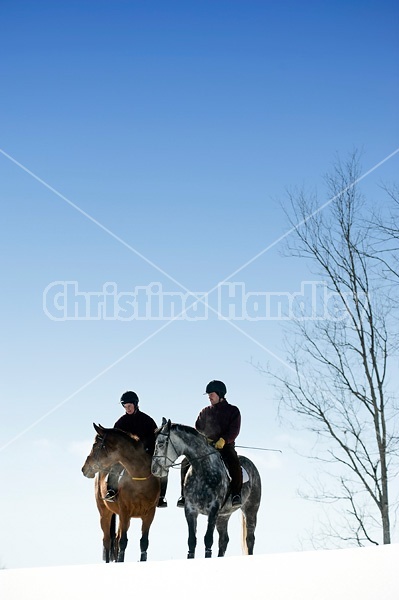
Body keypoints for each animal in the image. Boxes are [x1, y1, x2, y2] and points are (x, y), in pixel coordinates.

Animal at [80, 424, 160, 560]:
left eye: (95, 445)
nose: (84, 469)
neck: (139, 480)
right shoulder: (124, 512)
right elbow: (123, 542)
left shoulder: (149, 514)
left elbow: (143, 542)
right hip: (105, 514)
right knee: (107, 541)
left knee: (115, 539)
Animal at [151, 420, 262, 560]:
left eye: (160, 443)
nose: (154, 469)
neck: (202, 469)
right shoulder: (191, 510)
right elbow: (192, 541)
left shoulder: (213, 510)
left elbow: (208, 540)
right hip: (223, 516)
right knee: (223, 540)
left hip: (251, 510)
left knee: (250, 539)